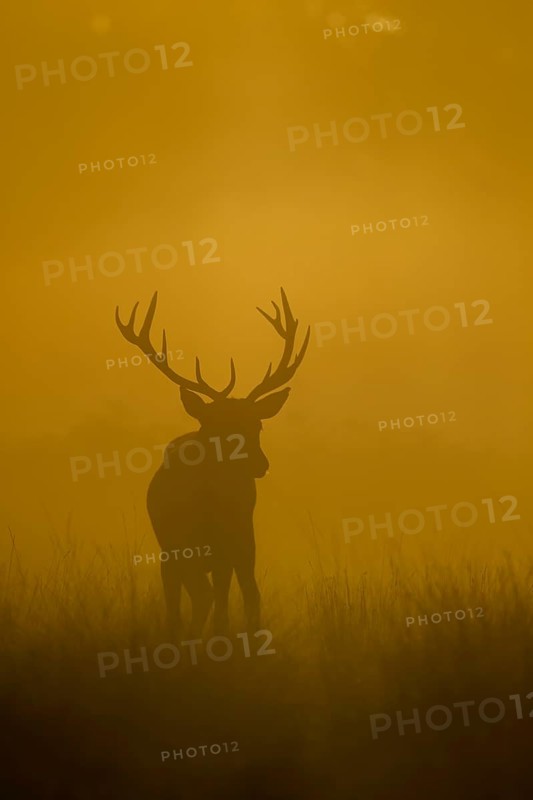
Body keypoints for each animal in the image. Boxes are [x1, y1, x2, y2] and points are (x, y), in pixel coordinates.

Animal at [115, 288, 310, 637]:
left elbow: (216, 599)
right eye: (220, 429)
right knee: (217, 594)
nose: (260, 464)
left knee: (239, 593)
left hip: (239, 538)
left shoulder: (219, 547)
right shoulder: (175, 547)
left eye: (257, 426)